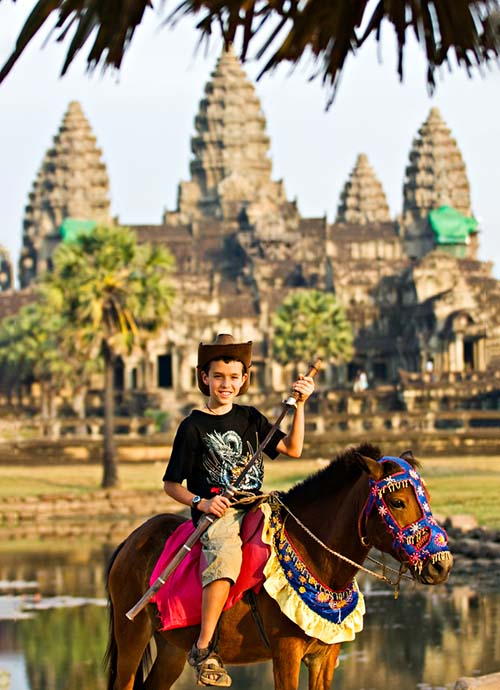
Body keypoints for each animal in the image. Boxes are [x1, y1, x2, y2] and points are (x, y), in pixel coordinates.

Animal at [105, 440, 454, 688]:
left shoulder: (325, 654)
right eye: (397, 502)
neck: (319, 563)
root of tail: (130, 540)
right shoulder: (285, 651)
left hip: (172, 646)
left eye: (426, 498)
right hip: (131, 633)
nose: (441, 565)